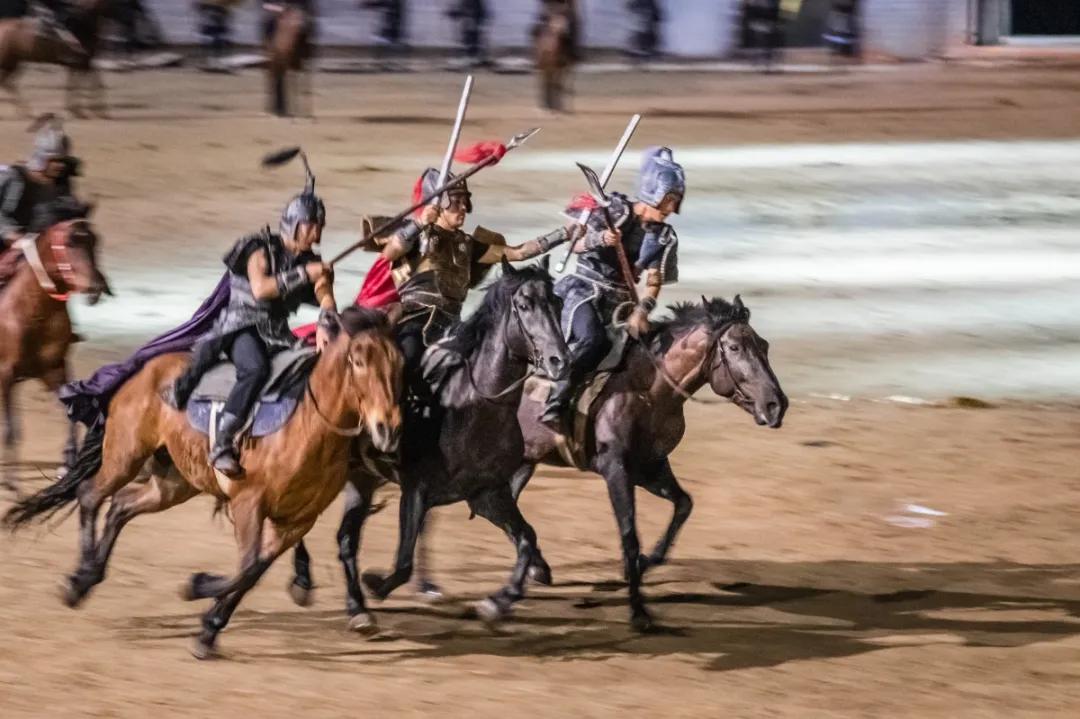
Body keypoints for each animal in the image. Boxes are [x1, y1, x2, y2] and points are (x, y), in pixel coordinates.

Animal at [0, 208, 110, 492]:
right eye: (70, 243)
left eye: (95, 241)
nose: (95, 288)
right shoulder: (5, 374)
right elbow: (11, 430)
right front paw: (13, 483)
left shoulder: (53, 369)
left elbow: (71, 414)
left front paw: (67, 465)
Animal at [4, 306, 403, 659]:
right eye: (358, 361)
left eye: (398, 362)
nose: (388, 428)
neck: (307, 424)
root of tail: (145, 369)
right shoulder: (248, 503)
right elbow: (246, 567)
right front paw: (196, 588)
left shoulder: (297, 521)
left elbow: (252, 572)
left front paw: (208, 629)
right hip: (125, 456)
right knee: (90, 495)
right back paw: (79, 580)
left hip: (174, 482)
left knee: (121, 506)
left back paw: (88, 577)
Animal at [288, 258, 570, 628]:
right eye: (524, 305)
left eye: (558, 302)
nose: (560, 361)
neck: (471, 407)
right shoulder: (416, 490)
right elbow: (404, 562)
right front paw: (376, 583)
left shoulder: (487, 494)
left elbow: (526, 538)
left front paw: (497, 603)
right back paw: (304, 580)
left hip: (361, 478)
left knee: (347, 537)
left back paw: (356, 607)